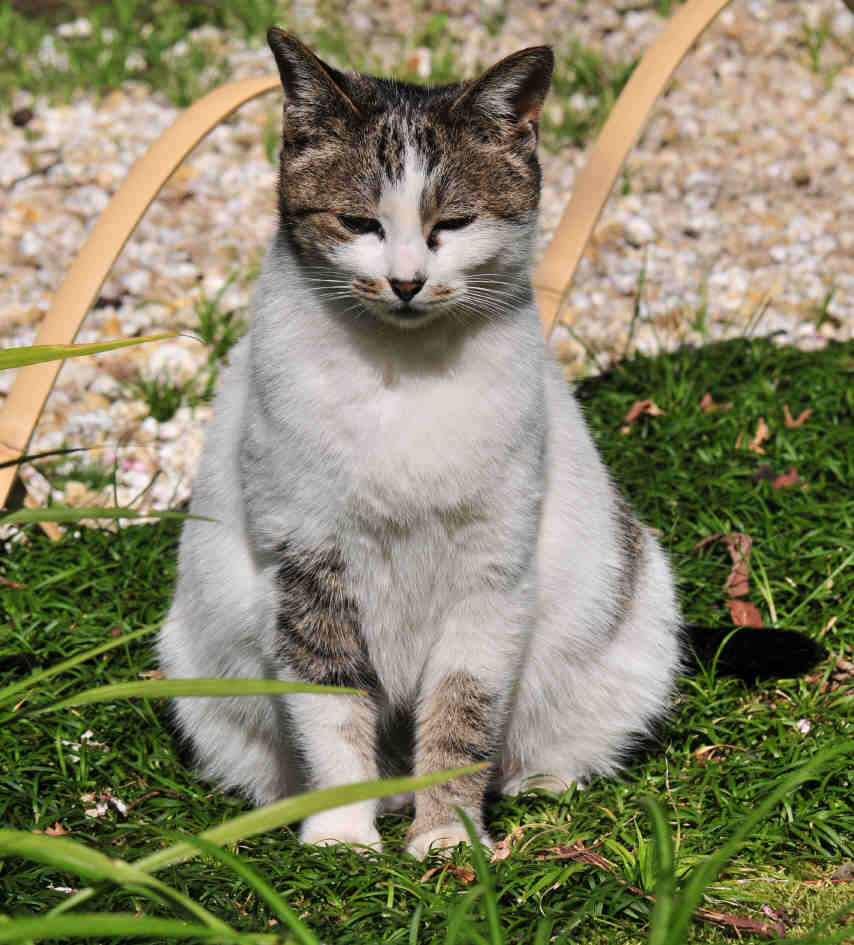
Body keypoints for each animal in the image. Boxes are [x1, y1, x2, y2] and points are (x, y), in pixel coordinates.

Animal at [157, 29, 824, 860]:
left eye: (453, 223)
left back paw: (537, 783)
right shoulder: (304, 567)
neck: (404, 377)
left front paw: (448, 835)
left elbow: (461, 712)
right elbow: (331, 705)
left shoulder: (492, 573)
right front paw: (344, 830)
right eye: (359, 224)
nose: (406, 281)